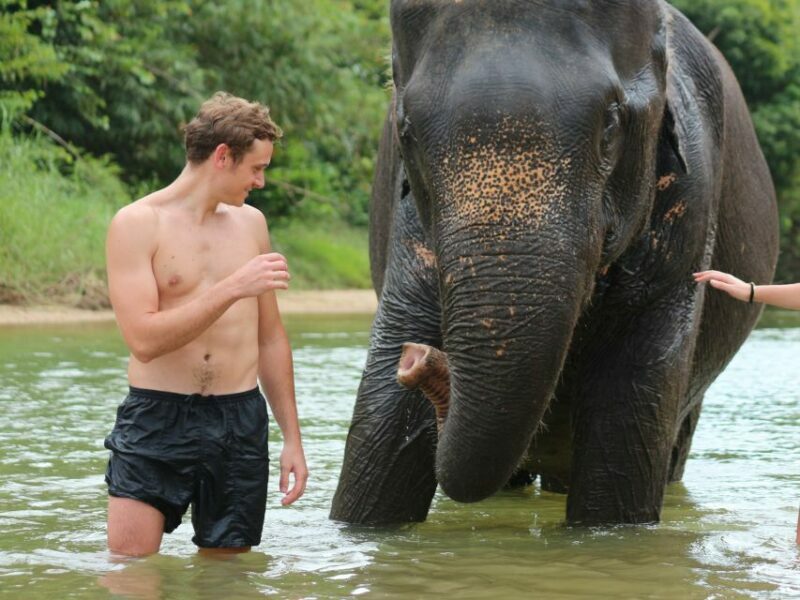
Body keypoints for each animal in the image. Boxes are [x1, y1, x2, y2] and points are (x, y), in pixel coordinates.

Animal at [330, 0, 779, 525]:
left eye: (610, 124)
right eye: (406, 133)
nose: (417, 359)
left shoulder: (688, 215)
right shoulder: (410, 238)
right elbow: (378, 447)